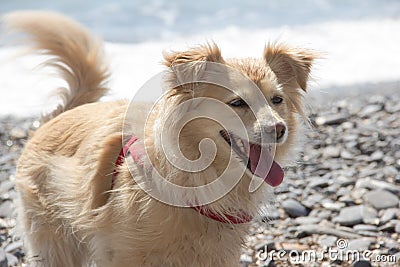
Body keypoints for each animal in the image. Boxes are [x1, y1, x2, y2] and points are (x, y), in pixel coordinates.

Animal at [6, 9, 314, 266]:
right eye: (237, 103)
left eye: (277, 100)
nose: (279, 129)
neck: (199, 178)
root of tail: (54, 119)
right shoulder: (124, 254)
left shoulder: (218, 253)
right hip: (56, 241)